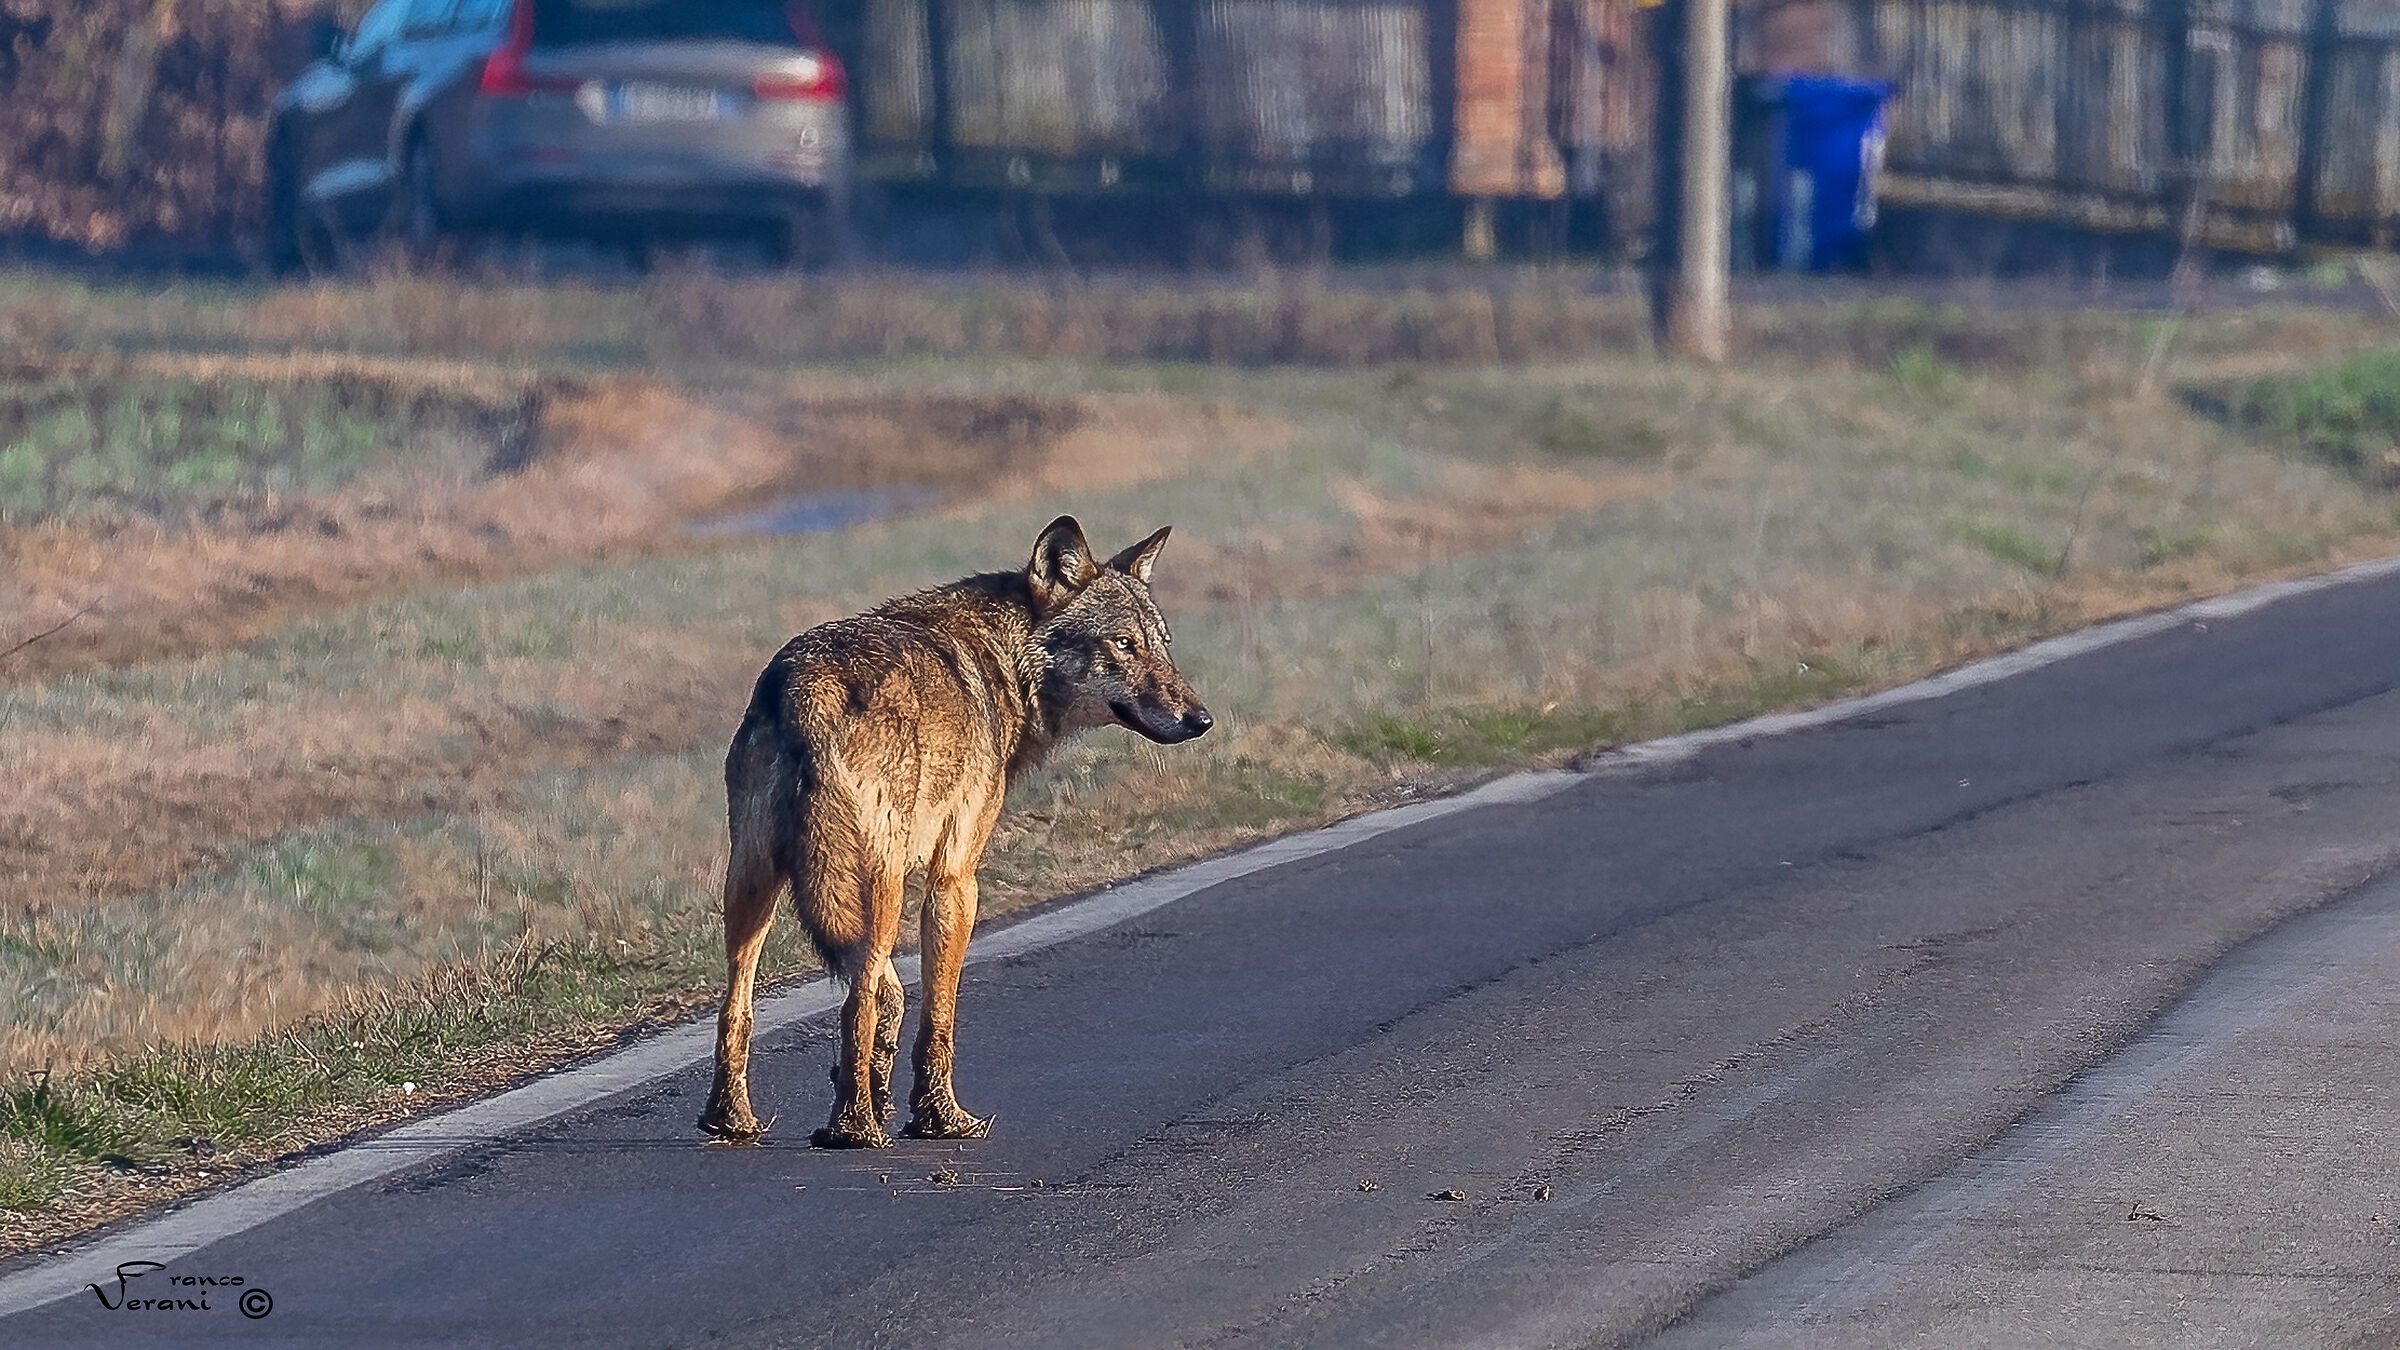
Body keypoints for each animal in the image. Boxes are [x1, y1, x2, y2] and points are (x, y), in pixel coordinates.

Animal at [700, 516, 1212, 1148]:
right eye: (1122, 644)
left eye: (1161, 643)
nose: (1201, 719)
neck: (1006, 664)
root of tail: (808, 688)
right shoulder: (956, 878)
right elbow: (937, 1013)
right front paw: (941, 1118)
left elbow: (897, 1001)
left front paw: (892, 1094)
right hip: (880, 889)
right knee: (853, 1003)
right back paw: (854, 1129)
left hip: (754, 883)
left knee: (737, 1004)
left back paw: (732, 1119)